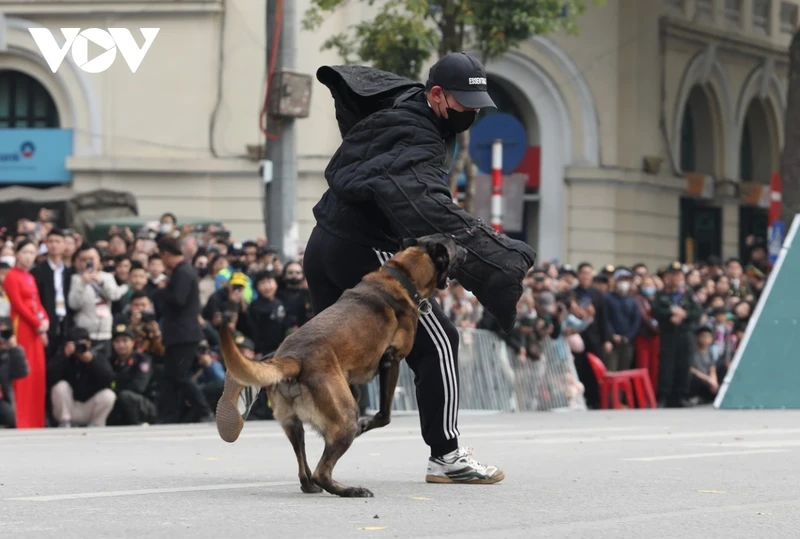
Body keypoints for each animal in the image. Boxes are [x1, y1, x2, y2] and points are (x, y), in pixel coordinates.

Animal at [220, 234, 468, 500]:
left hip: (293, 424)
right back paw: (350, 489)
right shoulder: (391, 361)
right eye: (454, 242)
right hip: (346, 417)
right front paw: (366, 425)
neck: (404, 275)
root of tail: (293, 359)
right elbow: (385, 415)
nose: (467, 248)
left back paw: (309, 485)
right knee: (322, 471)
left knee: (303, 463)